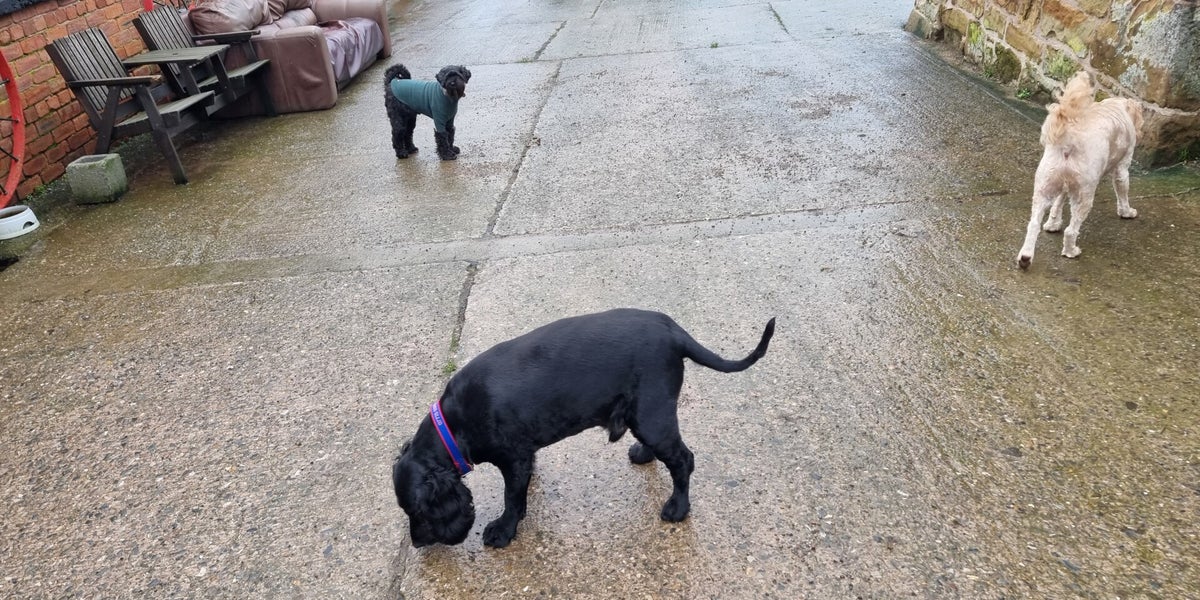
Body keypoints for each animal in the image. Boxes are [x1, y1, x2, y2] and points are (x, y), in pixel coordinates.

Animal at [392, 308, 775, 549]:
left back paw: (678, 508)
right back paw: (643, 454)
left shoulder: (513, 456)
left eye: (419, 512)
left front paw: (503, 529)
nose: (418, 543)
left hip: (652, 415)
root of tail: (675, 332)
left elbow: (511, 498)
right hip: (645, 414)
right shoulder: (523, 456)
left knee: (684, 459)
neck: (454, 423)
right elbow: (520, 489)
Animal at [1017, 70, 1143, 268]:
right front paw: (1127, 212)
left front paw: (1053, 223)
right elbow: (1123, 193)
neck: (1116, 106)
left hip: (1044, 187)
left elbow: (1058, 204)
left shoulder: (1064, 186)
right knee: (1071, 230)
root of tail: (1068, 139)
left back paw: (1025, 257)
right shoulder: (1122, 168)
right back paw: (1071, 251)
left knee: (1033, 224)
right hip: (1084, 194)